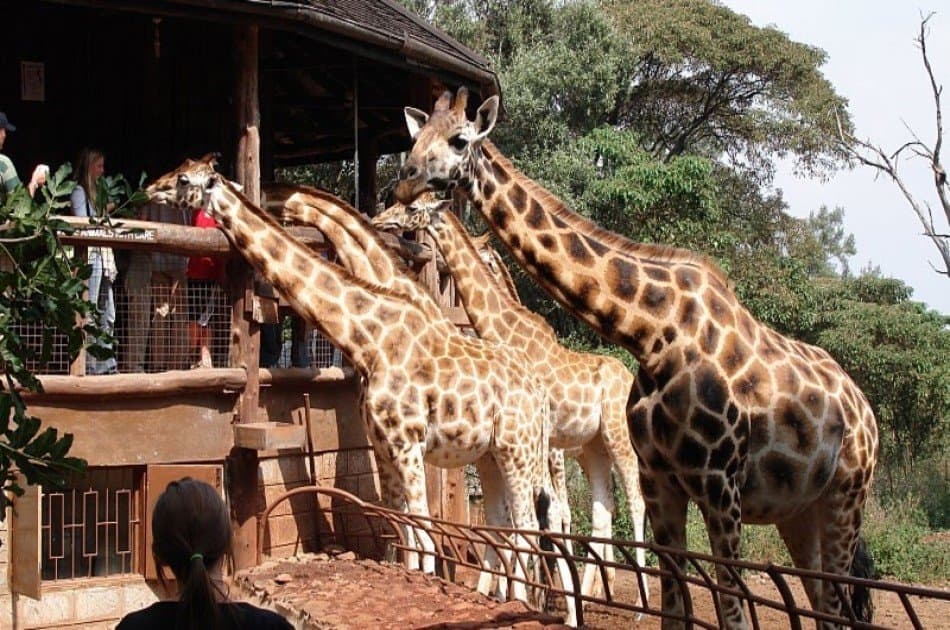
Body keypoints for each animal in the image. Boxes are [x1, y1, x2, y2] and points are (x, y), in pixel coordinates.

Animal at [145, 158, 576, 623]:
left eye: (183, 180)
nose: (149, 189)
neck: (368, 339)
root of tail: (537, 390)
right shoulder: (384, 447)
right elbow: (401, 534)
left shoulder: (408, 443)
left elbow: (424, 537)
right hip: (493, 454)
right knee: (512, 526)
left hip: (521, 451)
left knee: (535, 524)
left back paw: (538, 605)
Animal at [372, 196, 648, 603]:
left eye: (410, 208)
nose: (379, 220)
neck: (506, 332)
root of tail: (629, 380)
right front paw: (518, 591)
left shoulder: (543, 441)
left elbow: (547, 514)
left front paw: (530, 592)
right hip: (591, 447)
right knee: (604, 511)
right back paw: (595, 590)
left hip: (617, 438)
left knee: (634, 501)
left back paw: (639, 601)